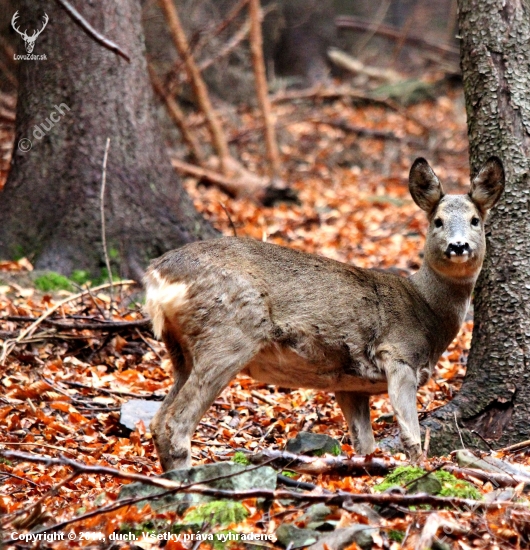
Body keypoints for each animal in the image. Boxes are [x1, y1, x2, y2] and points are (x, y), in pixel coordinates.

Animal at [143, 157, 504, 472]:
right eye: (437, 221)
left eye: (475, 221)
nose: (458, 246)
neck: (426, 309)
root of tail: (158, 274)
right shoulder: (399, 356)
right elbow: (411, 437)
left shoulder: (350, 385)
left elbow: (364, 445)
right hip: (228, 334)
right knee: (177, 421)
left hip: (181, 349)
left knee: (159, 419)